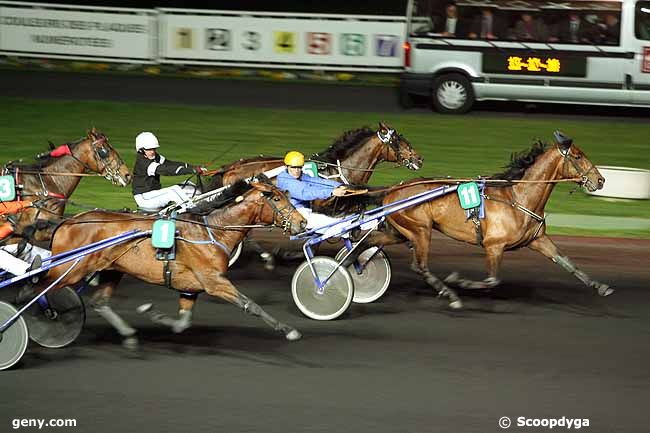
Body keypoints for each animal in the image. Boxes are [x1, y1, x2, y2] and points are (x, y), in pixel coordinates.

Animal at [34, 176, 308, 348]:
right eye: (277, 198)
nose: (303, 222)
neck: (212, 231)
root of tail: (68, 222)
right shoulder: (214, 282)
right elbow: (251, 305)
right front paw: (288, 330)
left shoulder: (190, 286)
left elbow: (182, 323)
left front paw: (152, 313)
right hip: (69, 269)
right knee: (37, 289)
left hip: (112, 269)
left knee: (99, 302)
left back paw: (128, 335)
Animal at [362, 131, 612, 308]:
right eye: (578, 156)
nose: (600, 180)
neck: (518, 198)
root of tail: (393, 189)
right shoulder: (494, 246)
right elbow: (492, 280)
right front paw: (459, 281)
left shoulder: (537, 240)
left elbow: (567, 262)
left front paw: (601, 286)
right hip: (420, 230)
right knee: (419, 266)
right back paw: (451, 295)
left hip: (399, 231)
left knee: (369, 243)